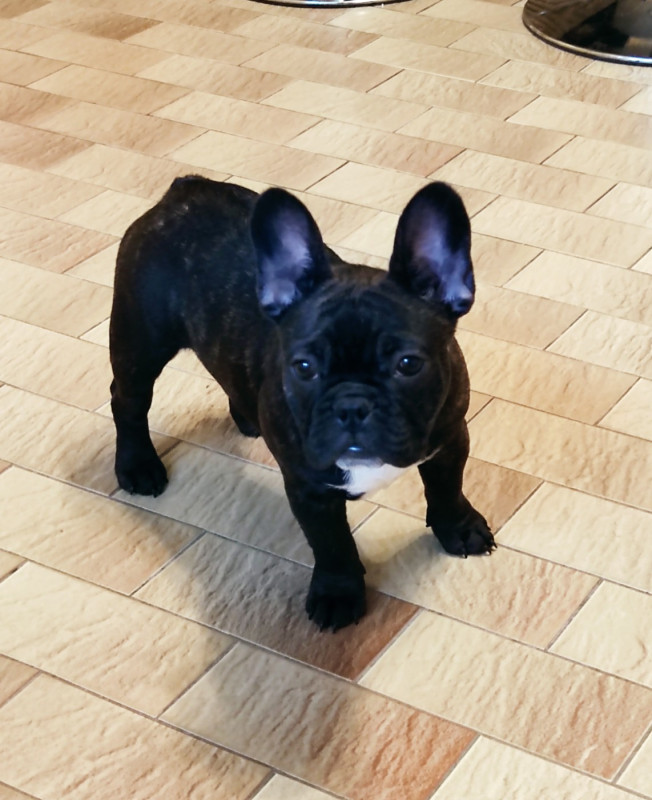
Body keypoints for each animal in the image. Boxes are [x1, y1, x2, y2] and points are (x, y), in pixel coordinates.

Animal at [109, 177, 495, 631]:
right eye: (304, 367)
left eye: (408, 364)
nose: (351, 405)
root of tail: (184, 190)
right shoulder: (309, 489)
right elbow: (331, 543)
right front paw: (338, 593)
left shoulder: (450, 440)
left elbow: (448, 488)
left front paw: (459, 528)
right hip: (140, 342)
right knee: (127, 402)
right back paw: (138, 466)